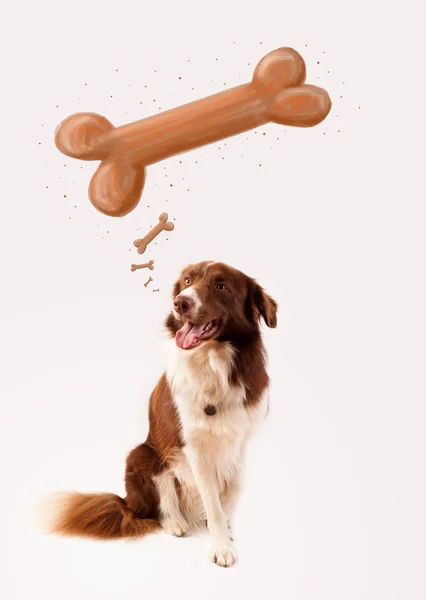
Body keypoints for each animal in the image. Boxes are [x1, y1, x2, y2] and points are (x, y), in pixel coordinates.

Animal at [48, 260, 278, 564]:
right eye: (187, 281)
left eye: (221, 286)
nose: (180, 302)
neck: (214, 363)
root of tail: (126, 503)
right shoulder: (194, 447)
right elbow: (212, 501)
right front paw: (221, 547)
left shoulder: (241, 442)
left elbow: (232, 491)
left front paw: (226, 532)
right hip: (143, 454)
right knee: (160, 500)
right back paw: (174, 522)